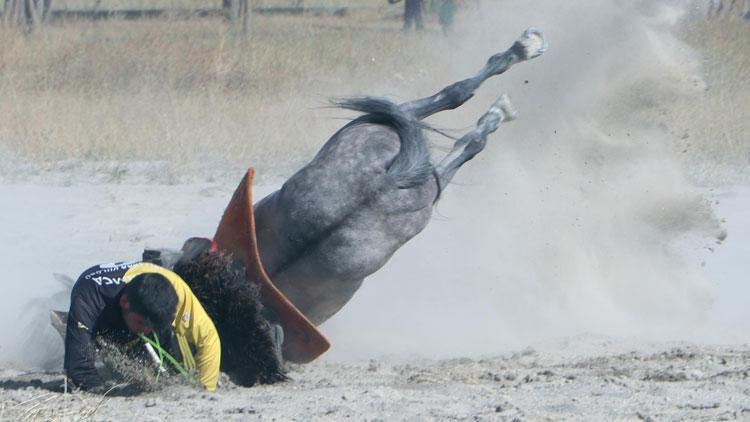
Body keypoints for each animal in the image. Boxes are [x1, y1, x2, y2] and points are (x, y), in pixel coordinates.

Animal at [256, 29, 548, 326]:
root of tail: (386, 182)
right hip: (420, 187)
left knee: (448, 102)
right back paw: (505, 96)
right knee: (460, 121)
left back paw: (521, 55)